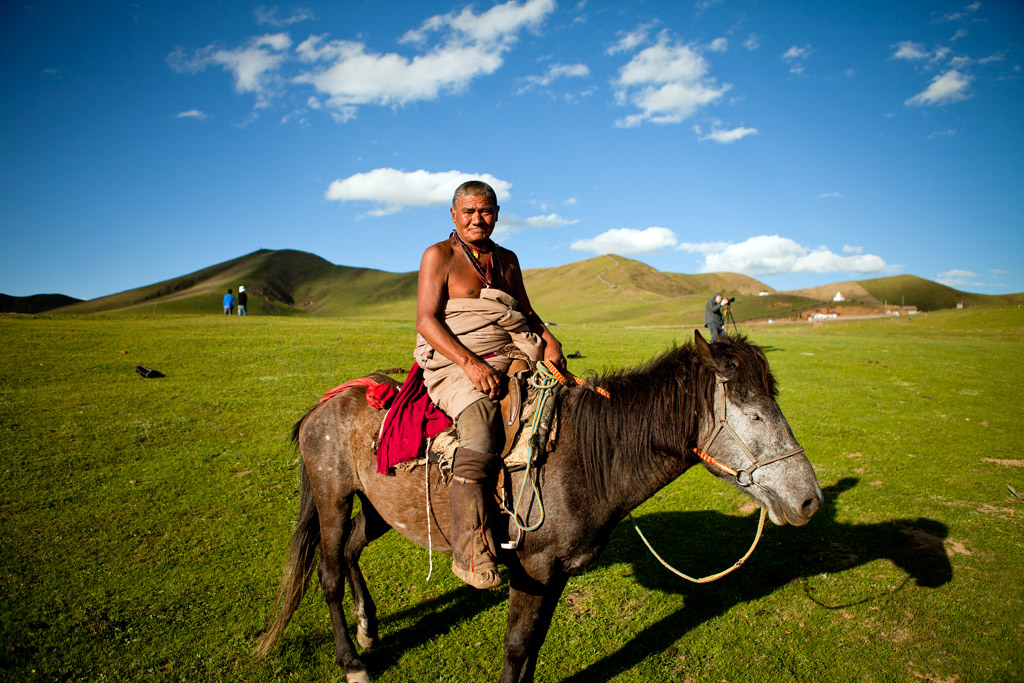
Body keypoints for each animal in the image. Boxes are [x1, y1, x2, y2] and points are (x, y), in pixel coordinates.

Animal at [256, 327, 823, 679]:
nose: (809, 501)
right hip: (332, 497)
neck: (588, 457)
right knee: (328, 571)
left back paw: (369, 630)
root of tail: (326, 402)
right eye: (754, 414)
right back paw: (354, 663)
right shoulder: (532, 568)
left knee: (353, 550)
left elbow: (533, 648)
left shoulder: (554, 574)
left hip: (379, 507)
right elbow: (516, 648)